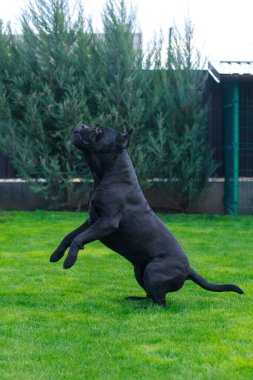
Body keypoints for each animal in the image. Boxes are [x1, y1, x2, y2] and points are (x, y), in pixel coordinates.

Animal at [50, 126, 243, 308]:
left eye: (98, 130)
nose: (81, 125)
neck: (107, 174)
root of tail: (188, 270)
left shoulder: (107, 223)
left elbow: (78, 238)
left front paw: (69, 260)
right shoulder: (91, 220)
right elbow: (69, 236)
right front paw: (56, 255)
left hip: (153, 271)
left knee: (161, 303)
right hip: (139, 271)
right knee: (151, 296)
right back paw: (135, 300)